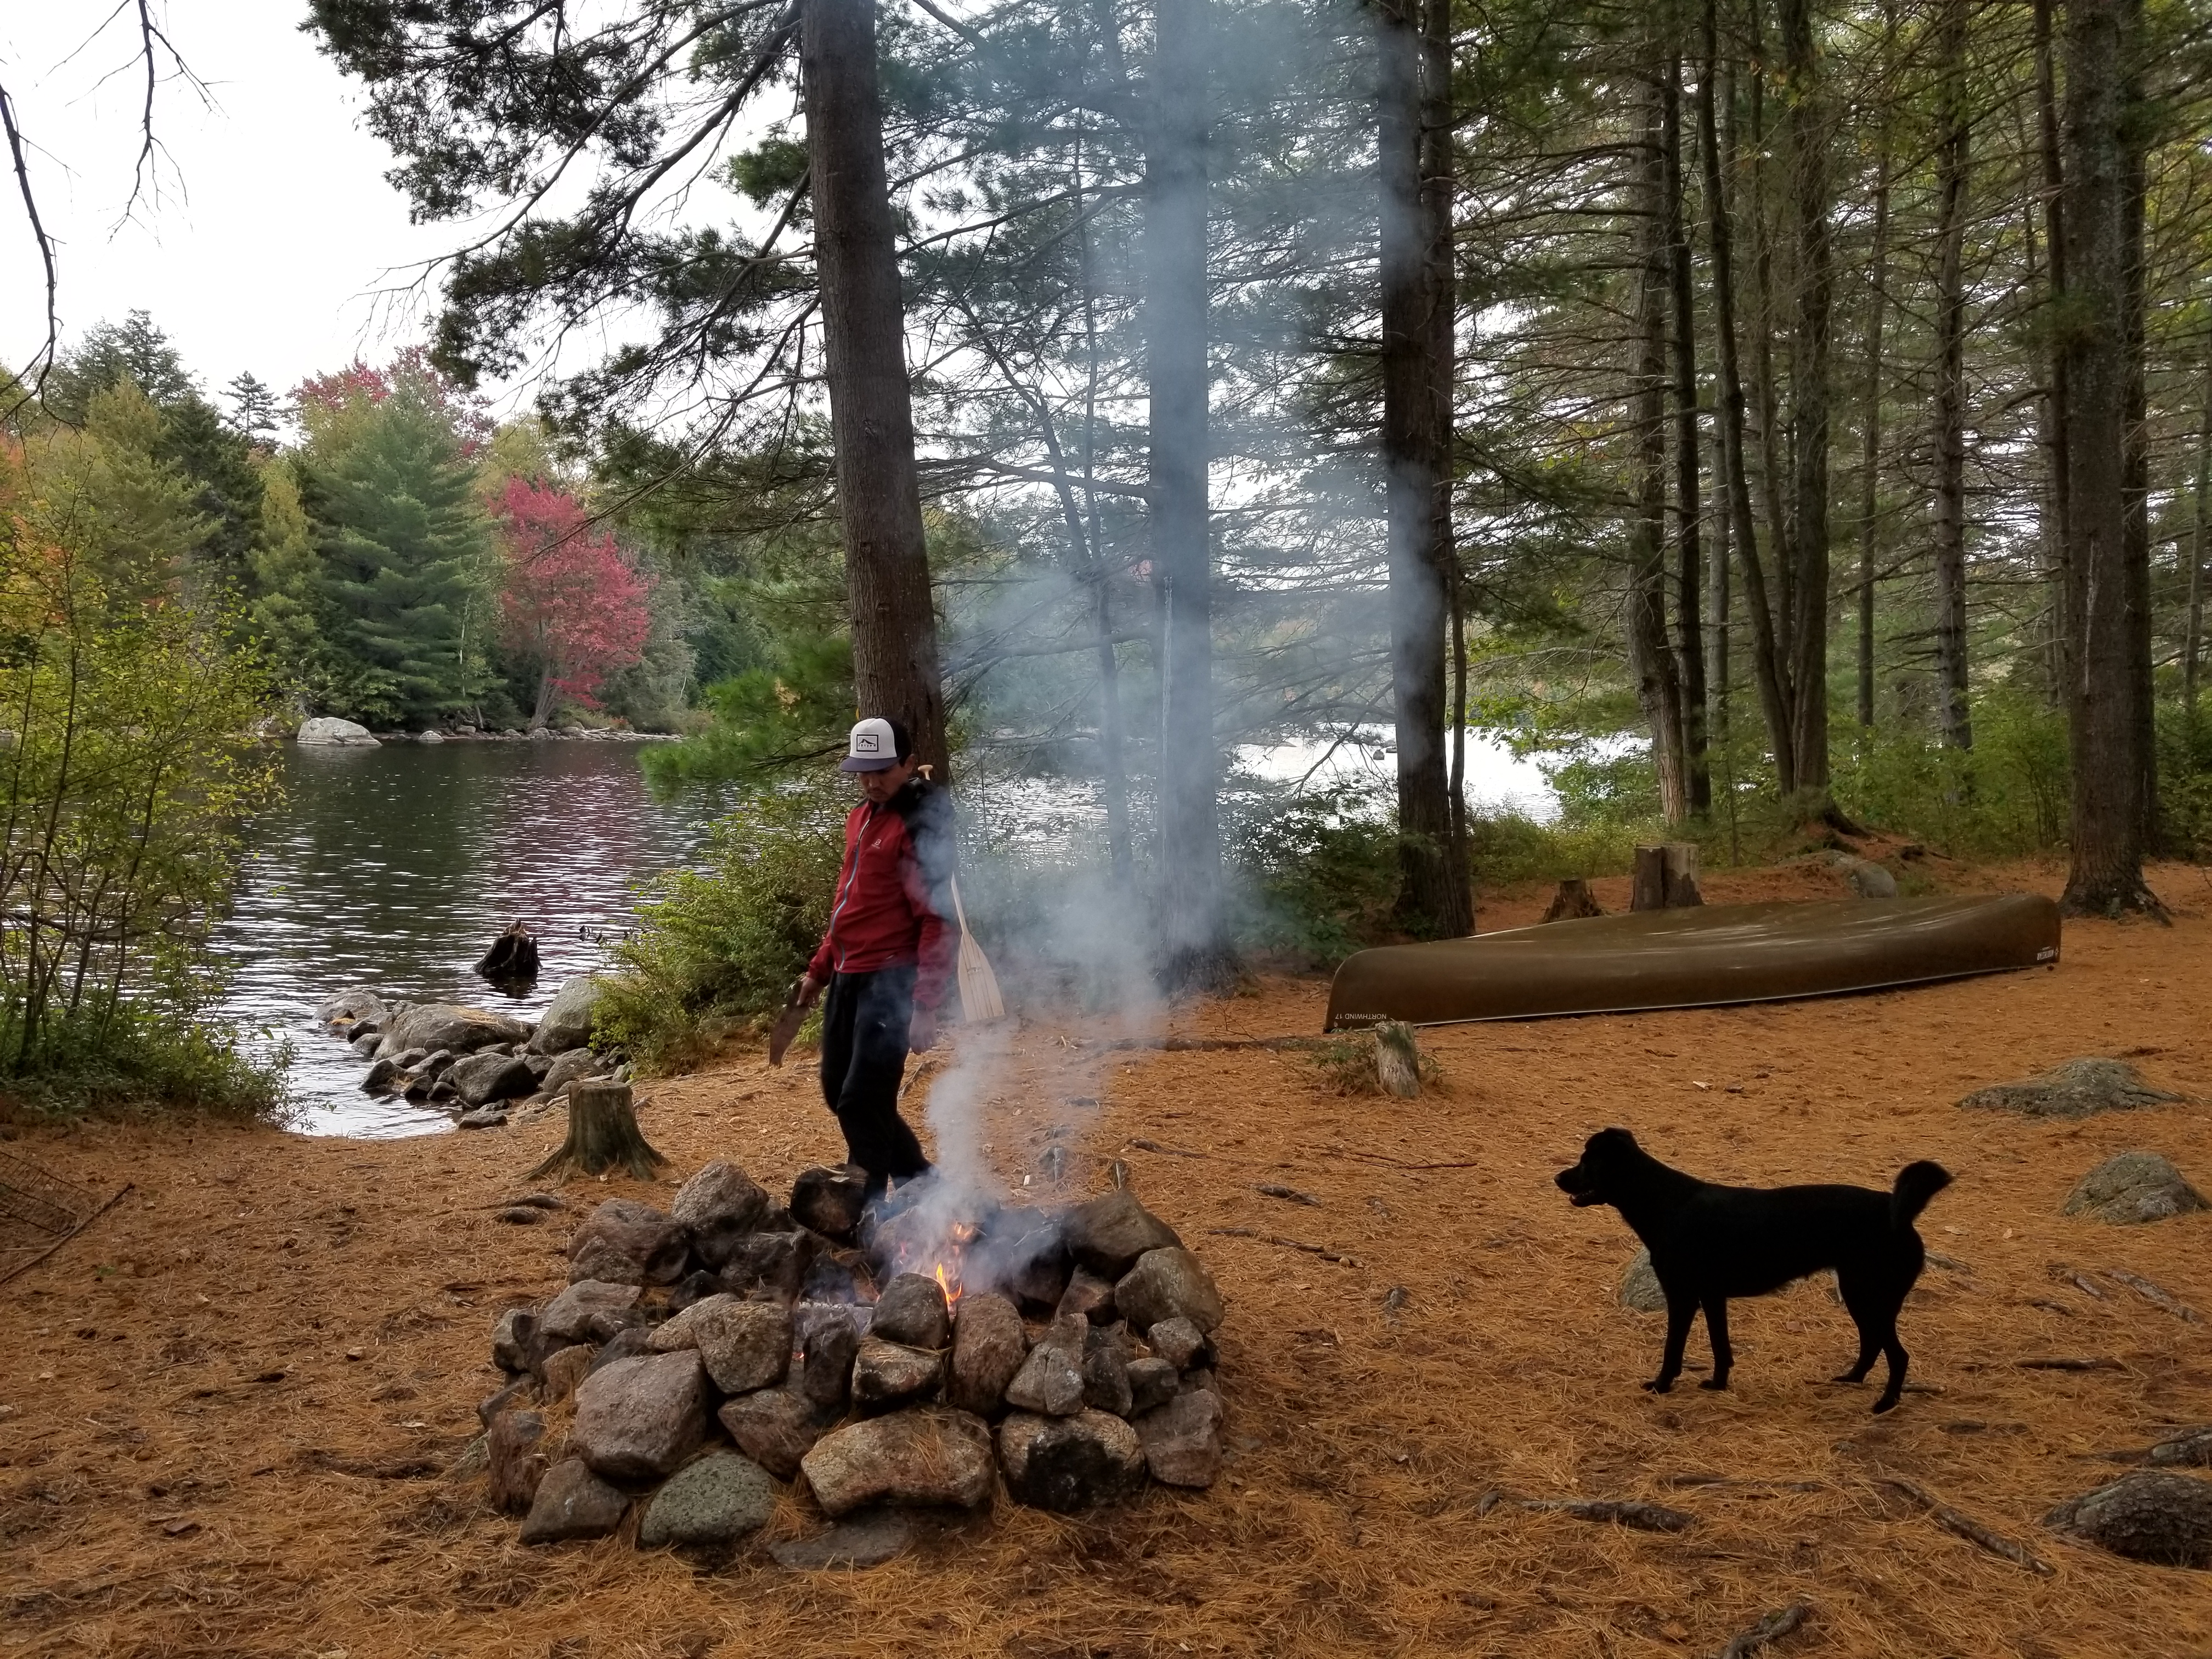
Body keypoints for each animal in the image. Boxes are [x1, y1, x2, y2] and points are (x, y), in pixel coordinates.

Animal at [1557, 1132, 1955, 1415]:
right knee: (1873, 1343)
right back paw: (1851, 1379)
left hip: (1868, 1296)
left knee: (1897, 1354)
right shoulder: (1711, 1296)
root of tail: (1899, 1213)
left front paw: (1662, 1385)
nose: (1557, 1177)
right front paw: (1718, 1384)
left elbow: (1673, 1349)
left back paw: (1885, 1404)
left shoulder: (1682, 1297)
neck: (1665, 1202)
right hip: (1862, 1296)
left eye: (1586, 1162)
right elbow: (1721, 1346)